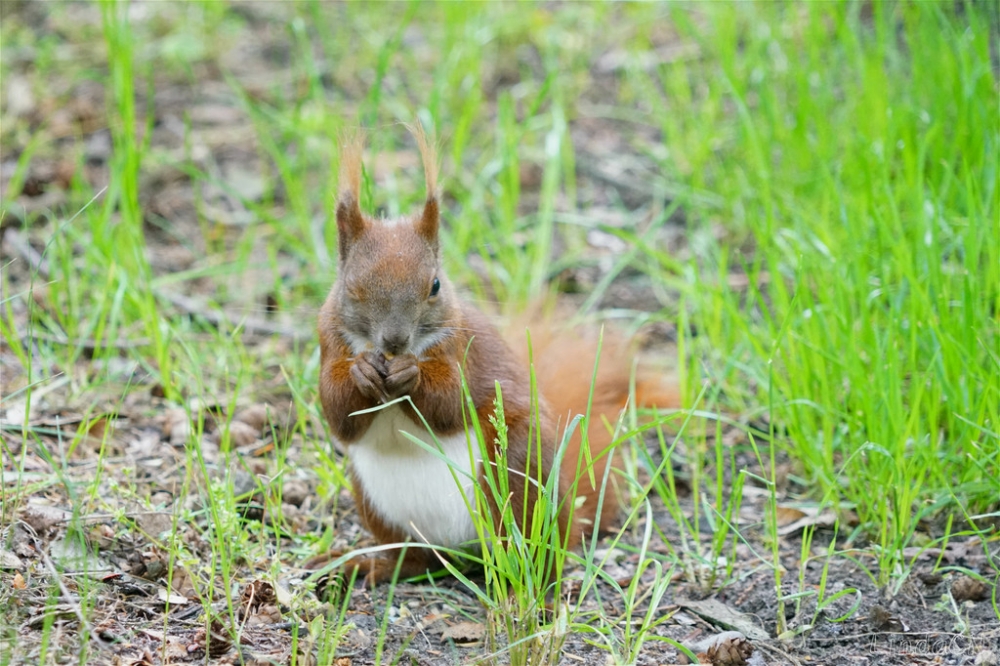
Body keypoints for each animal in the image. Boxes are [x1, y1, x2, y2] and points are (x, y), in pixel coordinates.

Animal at [310, 124, 680, 580]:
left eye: (435, 286)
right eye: (351, 288)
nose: (395, 342)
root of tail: (459, 551)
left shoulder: (463, 350)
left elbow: (452, 403)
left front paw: (412, 374)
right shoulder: (329, 341)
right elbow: (338, 413)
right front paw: (361, 372)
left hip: (517, 472)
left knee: (528, 548)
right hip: (376, 502)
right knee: (415, 559)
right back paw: (368, 565)